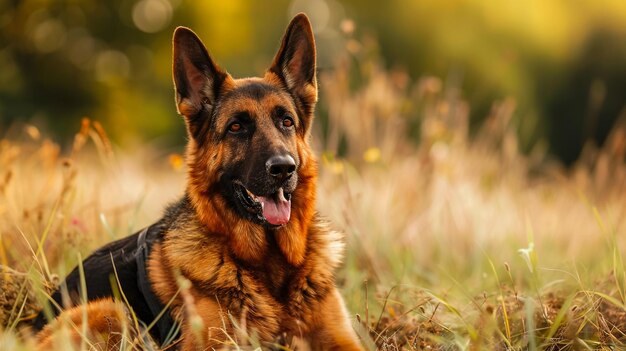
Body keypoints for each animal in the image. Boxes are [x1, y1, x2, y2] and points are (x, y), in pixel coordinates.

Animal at [34, 13, 364, 351]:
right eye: (236, 127)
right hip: (111, 310)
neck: (272, 265)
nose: (284, 168)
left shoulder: (342, 340)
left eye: (286, 121)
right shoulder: (214, 344)